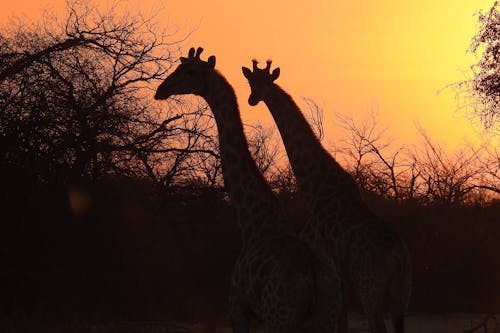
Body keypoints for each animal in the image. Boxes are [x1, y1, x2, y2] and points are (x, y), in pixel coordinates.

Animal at [154, 47, 342, 332]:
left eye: (190, 71)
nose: (161, 90)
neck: (252, 222)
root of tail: (313, 276)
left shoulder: (238, 308)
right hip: (327, 317)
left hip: (280, 316)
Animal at [242, 59, 410, 332]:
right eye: (250, 82)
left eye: (265, 82)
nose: (252, 99)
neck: (315, 189)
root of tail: (400, 255)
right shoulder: (338, 274)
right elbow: (340, 322)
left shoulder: (326, 260)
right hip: (402, 290)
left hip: (369, 284)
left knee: (376, 325)